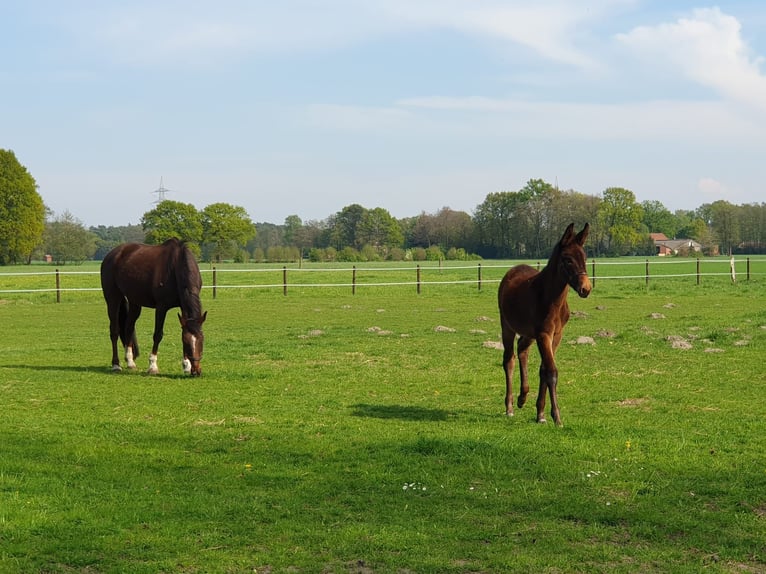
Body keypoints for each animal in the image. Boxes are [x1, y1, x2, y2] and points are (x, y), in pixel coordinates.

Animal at [100, 238, 207, 376]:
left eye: (201, 340)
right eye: (187, 342)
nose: (196, 371)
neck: (175, 266)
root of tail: (112, 254)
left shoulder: (183, 308)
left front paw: (186, 366)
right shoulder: (161, 307)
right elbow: (158, 334)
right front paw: (152, 366)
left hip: (135, 302)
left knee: (128, 327)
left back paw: (130, 362)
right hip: (113, 299)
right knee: (114, 330)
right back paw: (116, 365)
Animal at [497, 223, 591, 426]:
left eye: (585, 257)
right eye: (568, 260)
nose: (586, 288)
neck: (552, 299)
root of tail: (513, 269)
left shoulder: (556, 335)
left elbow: (543, 369)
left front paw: (540, 413)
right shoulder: (543, 335)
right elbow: (551, 371)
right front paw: (557, 417)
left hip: (528, 333)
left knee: (522, 350)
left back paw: (522, 397)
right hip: (507, 327)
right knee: (509, 360)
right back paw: (509, 407)